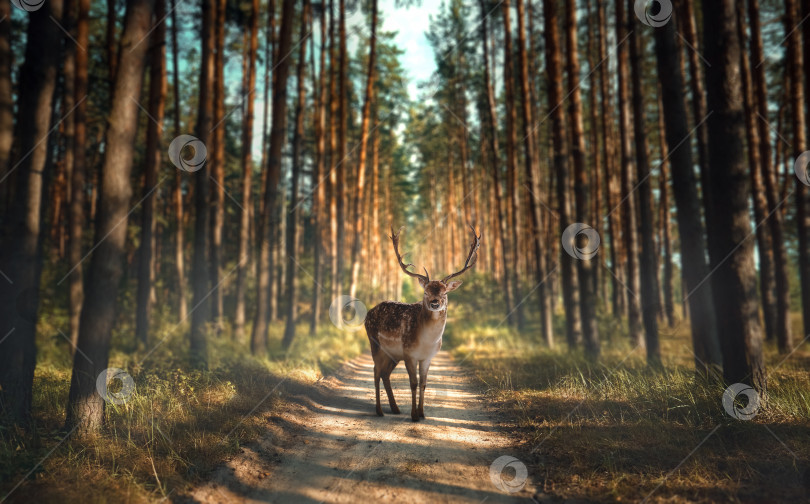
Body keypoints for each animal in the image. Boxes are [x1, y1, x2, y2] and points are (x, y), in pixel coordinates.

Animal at [362, 224, 480, 422]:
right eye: (425, 292)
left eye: (445, 293)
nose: (435, 303)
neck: (426, 342)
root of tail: (367, 313)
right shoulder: (409, 354)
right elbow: (413, 383)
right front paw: (414, 415)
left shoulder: (428, 357)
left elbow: (424, 383)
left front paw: (422, 413)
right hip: (375, 343)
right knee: (376, 372)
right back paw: (379, 411)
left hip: (393, 354)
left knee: (385, 373)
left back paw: (395, 408)